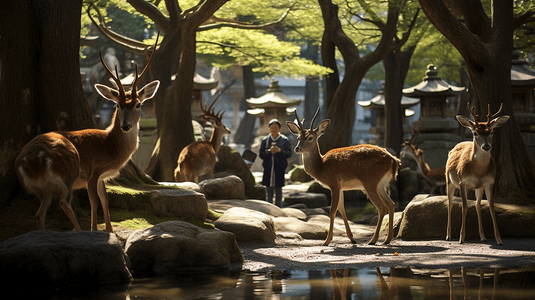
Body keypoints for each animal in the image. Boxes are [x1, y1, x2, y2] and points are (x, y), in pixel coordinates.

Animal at [15, 35, 161, 232]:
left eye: (138, 104)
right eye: (117, 104)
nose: (125, 126)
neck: (111, 146)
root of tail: (29, 159)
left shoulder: (101, 177)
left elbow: (105, 199)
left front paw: (109, 229)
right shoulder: (93, 171)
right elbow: (95, 202)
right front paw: (95, 229)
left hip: (42, 187)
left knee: (40, 213)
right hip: (68, 172)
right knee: (64, 203)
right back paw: (78, 230)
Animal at [286, 108, 400, 246]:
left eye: (310, 137)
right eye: (298, 137)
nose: (297, 148)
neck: (321, 167)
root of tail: (393, 160)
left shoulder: (334, 183)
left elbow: (332, 210)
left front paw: (326, 241)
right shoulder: (341, 187)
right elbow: (342, 209)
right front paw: (352, 238)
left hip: (370, 182)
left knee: (382, 208)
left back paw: (373, 240)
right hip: (381, 184)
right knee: (391, 204)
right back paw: (387, 239)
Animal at [444, 102, 510, 245]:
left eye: (492, 132)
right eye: (475, 133)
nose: (486, 146)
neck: (479, 171)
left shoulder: (489, 182)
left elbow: (491, 207)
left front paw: (499, 239)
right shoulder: (463, 181)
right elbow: (464, 207)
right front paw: (461, 238)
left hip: (479, 188)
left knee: (477, 204)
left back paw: (483, 237)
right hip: (448, 180)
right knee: (450, 203)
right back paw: (448, 236)